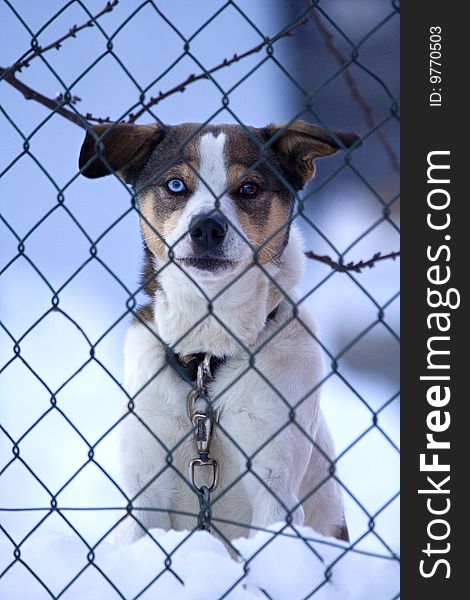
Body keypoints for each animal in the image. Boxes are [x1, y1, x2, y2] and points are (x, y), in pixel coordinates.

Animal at [79, 120, 358, 544]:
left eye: (249, 188)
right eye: (176, 184)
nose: (207, 227)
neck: (206, 355)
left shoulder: (274, 483)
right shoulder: (145, 488)